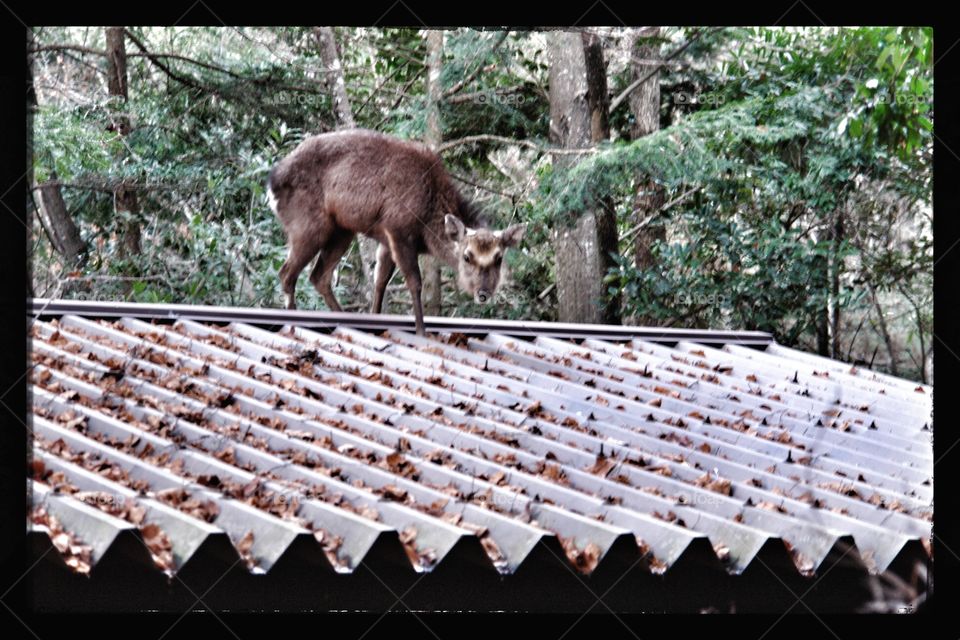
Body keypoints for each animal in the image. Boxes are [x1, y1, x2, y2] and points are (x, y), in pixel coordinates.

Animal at [266, 128, 525, 335]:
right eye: (467, 256)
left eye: (499, 258)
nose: (483, 293)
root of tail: (271, 185)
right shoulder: (398, 230)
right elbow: (414, 282)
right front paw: (421, 330)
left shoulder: (386, 240)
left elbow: (380, 282)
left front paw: (375, 320)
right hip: (307, 225)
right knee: (287, 274)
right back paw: (293, 323)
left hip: (342, 231)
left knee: (318, 276)